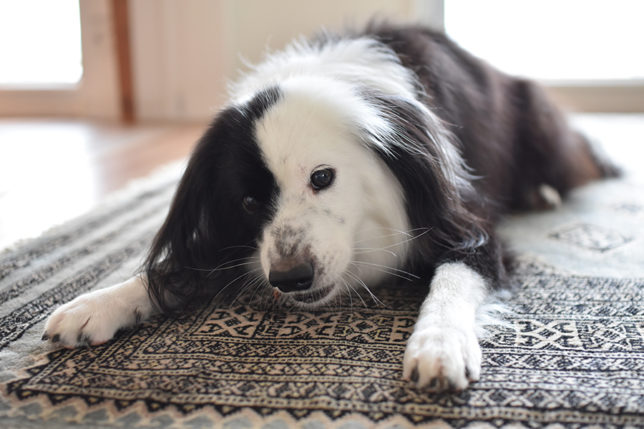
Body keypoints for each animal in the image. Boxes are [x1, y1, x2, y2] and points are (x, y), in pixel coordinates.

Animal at [42, 24, 616, 392]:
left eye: (322, 178)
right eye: (248, 201)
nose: (290, 277)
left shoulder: (465, 224)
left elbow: (454, 277)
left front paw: (438, 345)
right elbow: (176, 268)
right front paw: (98, 303)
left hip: (537, 117)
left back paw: (544, 191)